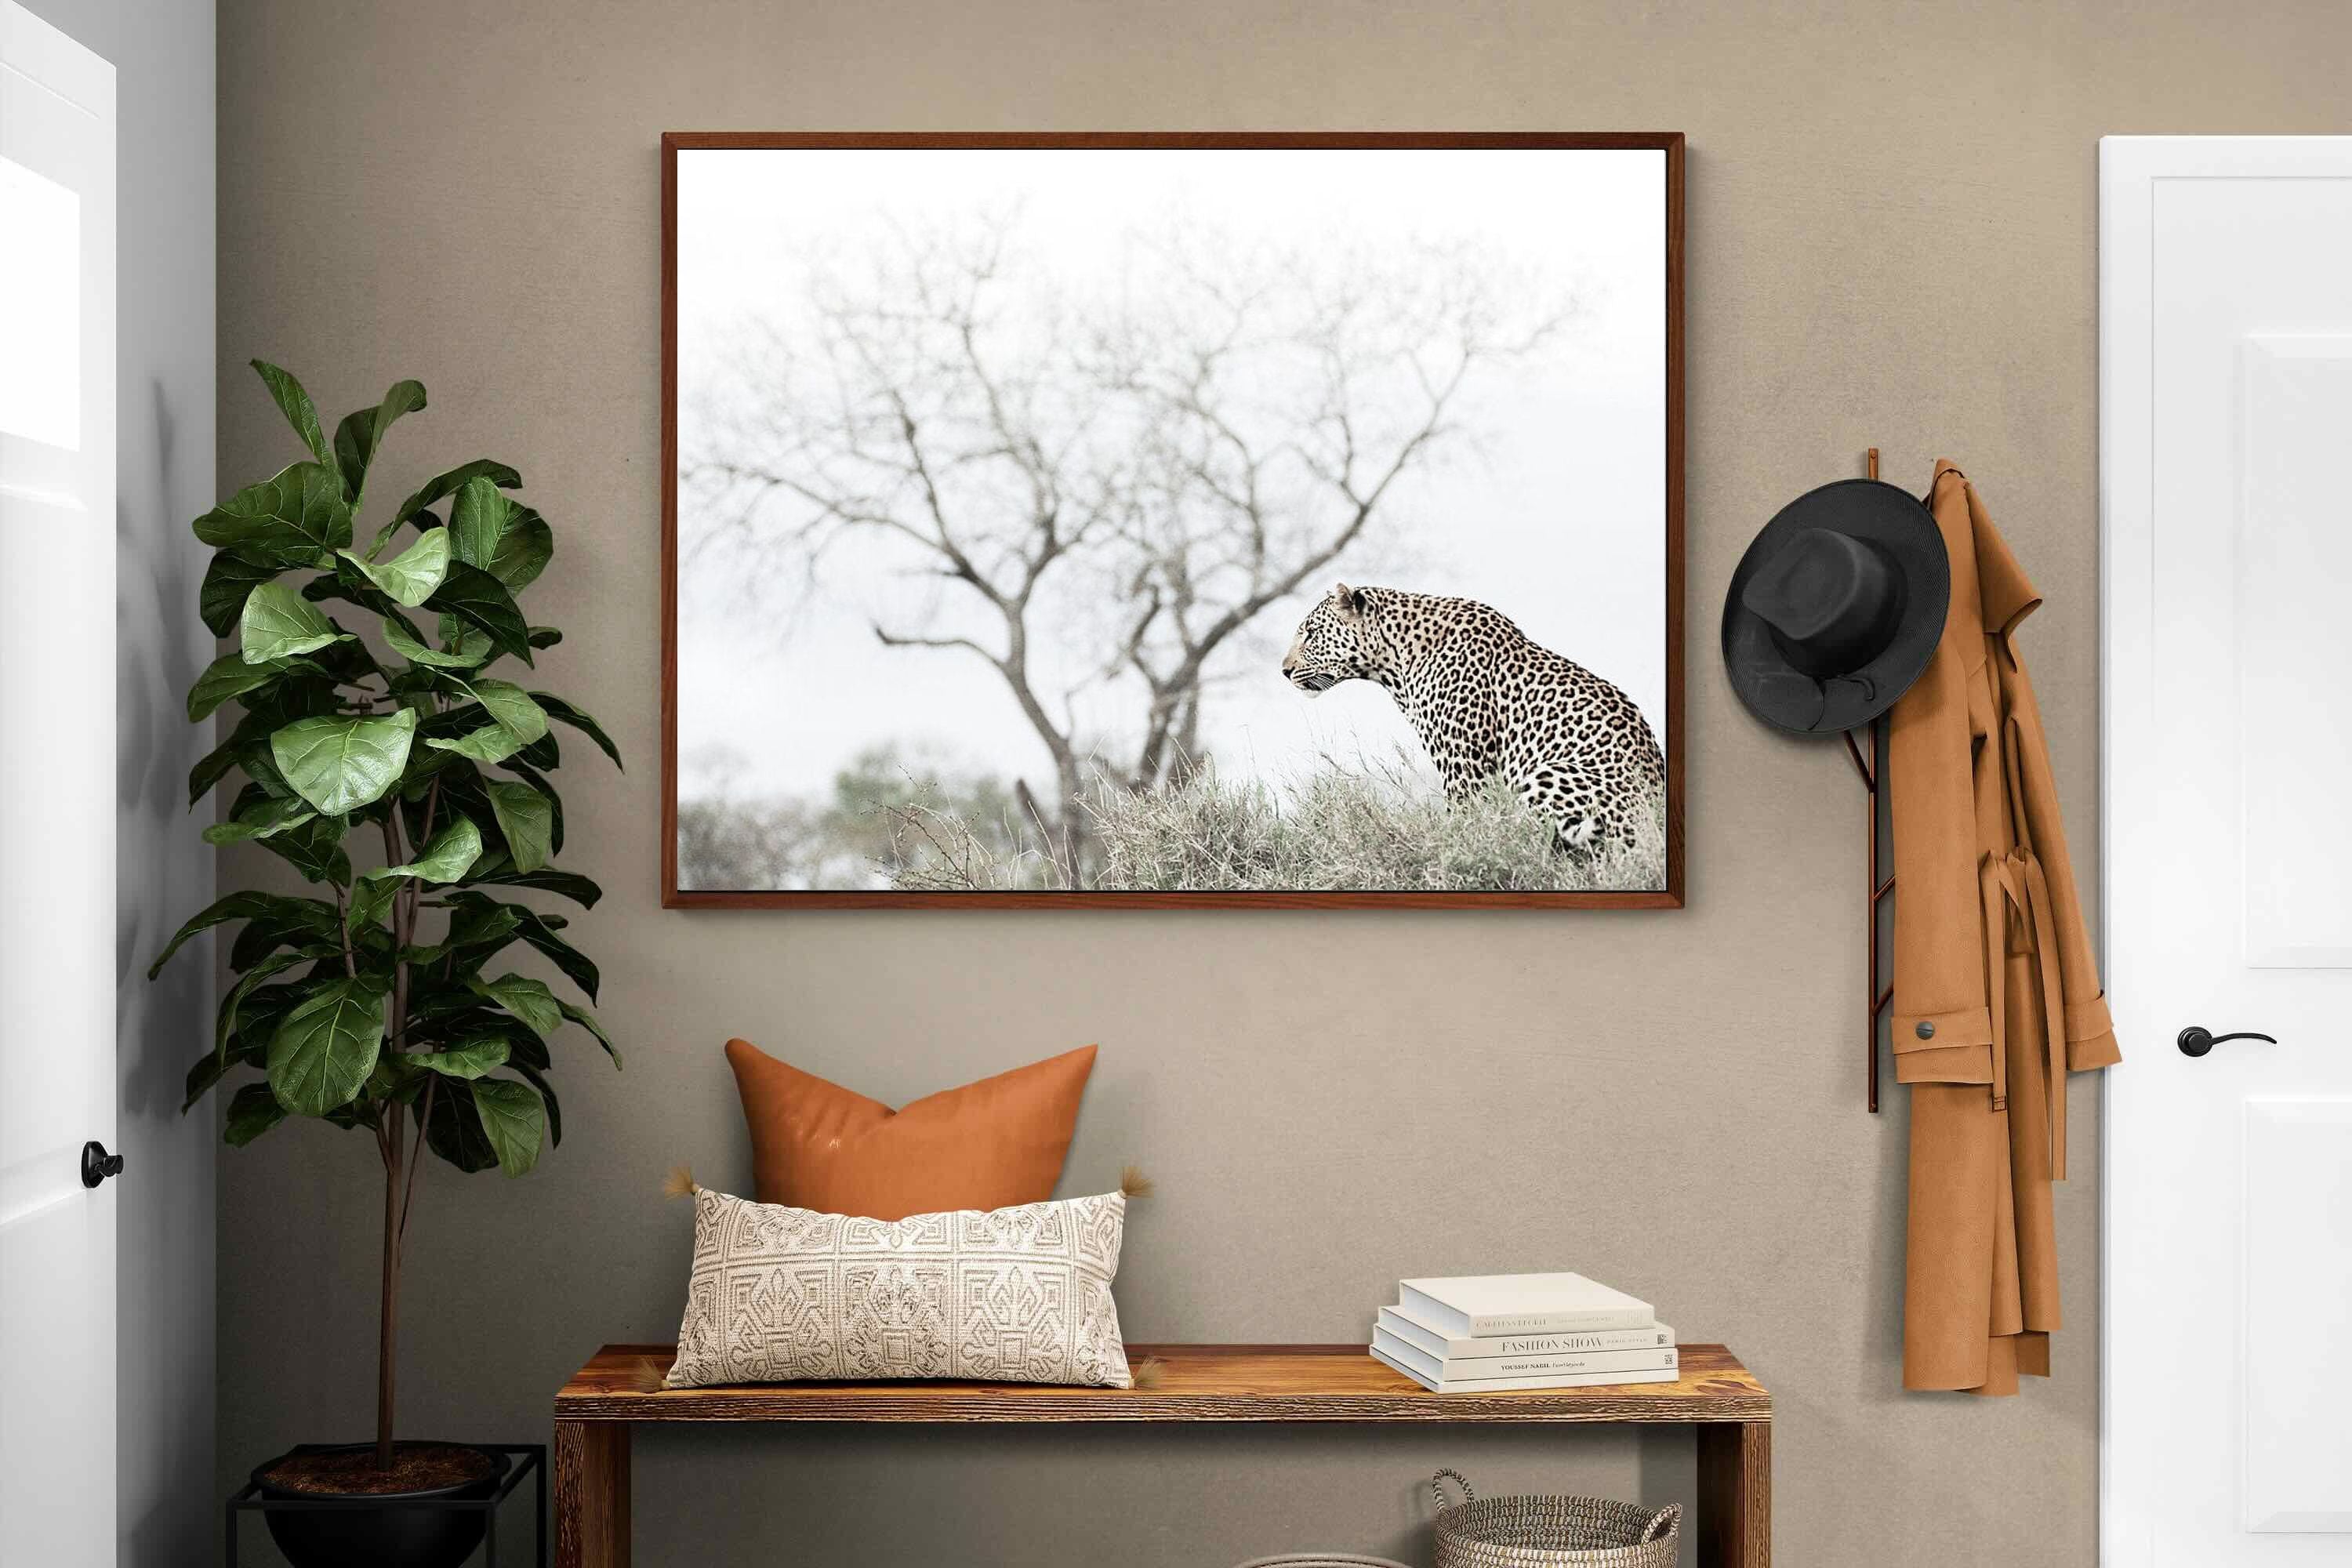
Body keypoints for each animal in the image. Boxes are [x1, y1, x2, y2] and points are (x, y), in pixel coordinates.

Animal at [1280, 582, 1665, 854]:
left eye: (1312, 633)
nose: (1285, 671)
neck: (1393, 661)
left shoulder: (1463, 764)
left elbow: (1464, 821)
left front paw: (1455, 850)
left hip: (1550, 774)